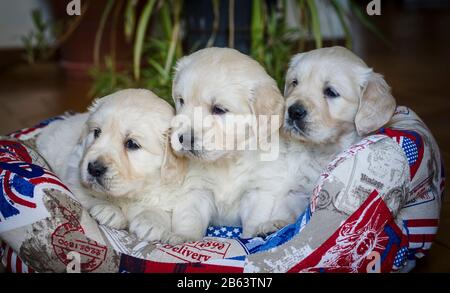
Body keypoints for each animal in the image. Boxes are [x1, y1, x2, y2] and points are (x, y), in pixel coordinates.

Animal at [36, 88, 188, 243]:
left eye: (132, 144)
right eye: (96, 132)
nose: (94, 169)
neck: (132, 194)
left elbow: (164, 209)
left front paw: (151, 221)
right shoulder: (74, 178)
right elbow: (86, 196)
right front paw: (109, 210)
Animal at [167, 47, 312, 240]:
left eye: (219, 109)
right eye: (181, 101)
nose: (184, 139)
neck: (228, 160)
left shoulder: (259, 192)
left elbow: (253, 222)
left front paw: (252, 237)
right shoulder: (196, 188)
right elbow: (189, 217)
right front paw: (184, 237)